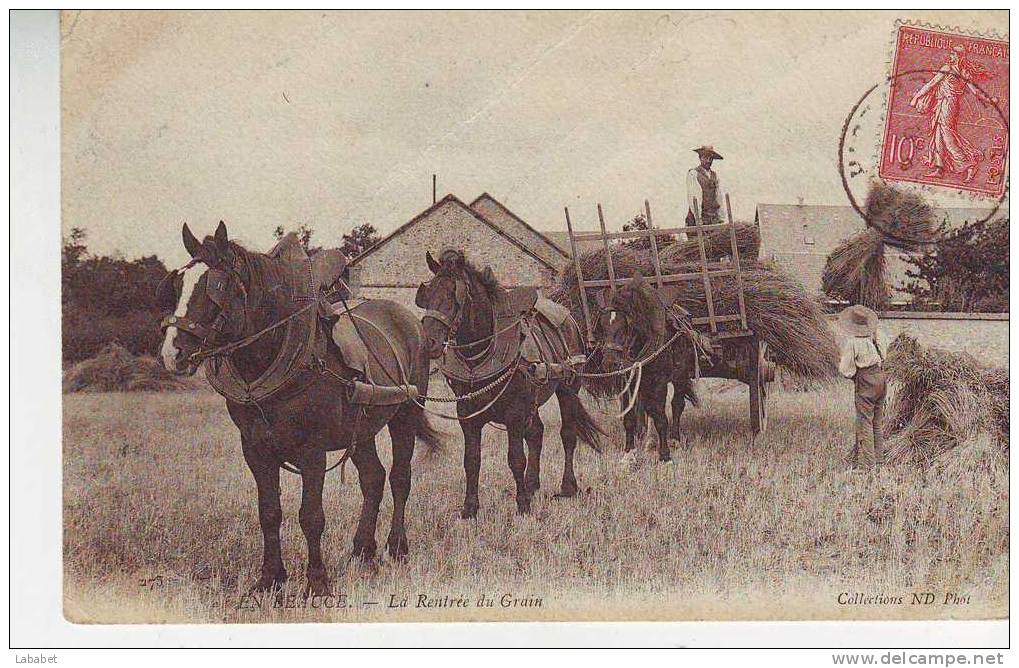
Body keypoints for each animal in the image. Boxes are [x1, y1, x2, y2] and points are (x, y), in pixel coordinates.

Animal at [159, 223, 442, 594]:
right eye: (177, 285)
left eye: (214, 288)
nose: (172, 354)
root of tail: (409, 320)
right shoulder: (255, 449)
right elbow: (269, 513)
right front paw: (269, 579)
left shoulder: (313, 450)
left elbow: (311, 516)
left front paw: (317, 583)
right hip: (361, 428)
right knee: (373, 478)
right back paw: (362, 551)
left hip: (405, 413)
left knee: (399, 478)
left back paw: (396, 548)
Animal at [415, 249, 603, 517]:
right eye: (427, 294)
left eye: (454, 296)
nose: (428, 342)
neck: (482, 355)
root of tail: (567, 316)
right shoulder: (467, 415)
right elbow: (471, 459)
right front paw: (470, 508)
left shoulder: (514, 414)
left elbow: (515, 458)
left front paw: (522, 505)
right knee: (536, 432)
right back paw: (532, 484)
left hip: (568, 388)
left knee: (568, 435)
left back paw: (568, 487)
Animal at [595, 274, 705, 462]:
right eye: (602, 326)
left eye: (625, 326)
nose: (609, 362)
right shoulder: (628, 382)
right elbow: (629, 418)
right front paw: (629, 452)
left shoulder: (659, 383)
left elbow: (661, 419)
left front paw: (665, 455)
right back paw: (647, 440)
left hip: (680, 375)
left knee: (677, 404)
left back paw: (675, 439)